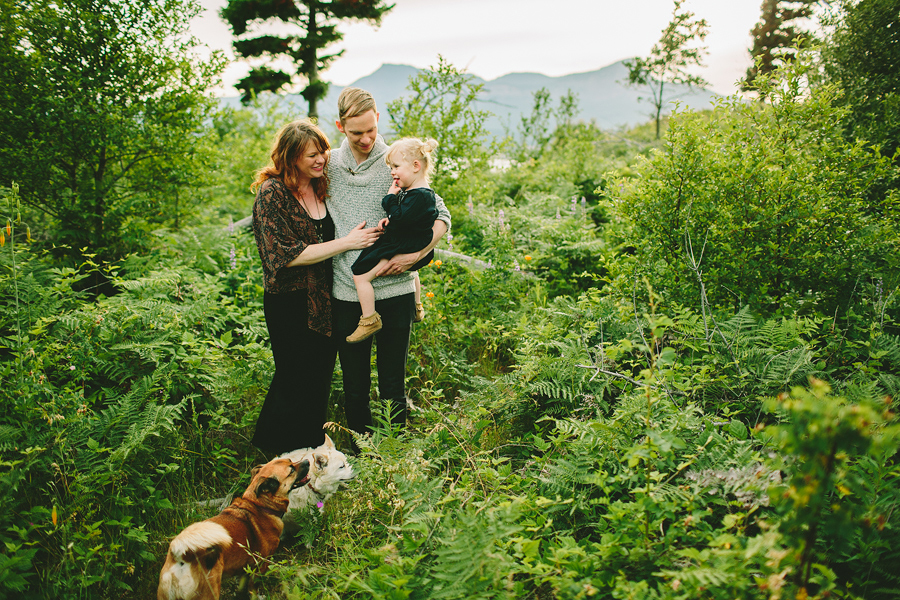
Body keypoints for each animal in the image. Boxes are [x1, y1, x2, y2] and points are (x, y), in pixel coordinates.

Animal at [156, 458, 308, 596]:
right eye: (291, 470)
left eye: (291, 460)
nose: (307, 461)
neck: (259, 505)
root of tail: (182, 556)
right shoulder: (260, 566)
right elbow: (254, 588)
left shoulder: (245, 569)